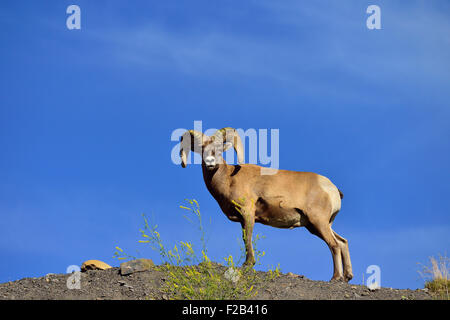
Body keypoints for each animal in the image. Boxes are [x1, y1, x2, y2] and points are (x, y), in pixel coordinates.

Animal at [181, 126, 354, 282]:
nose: (210, 163)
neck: (229, 179)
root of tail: (331, 188)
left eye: (218, 150)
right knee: (342, 242)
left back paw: (335, 278)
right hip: (316, 225)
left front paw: (248, 264)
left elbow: (247, 238)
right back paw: (347, 277)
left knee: (334, 245)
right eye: (202, 150)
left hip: (318, 222)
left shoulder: (247, 213)